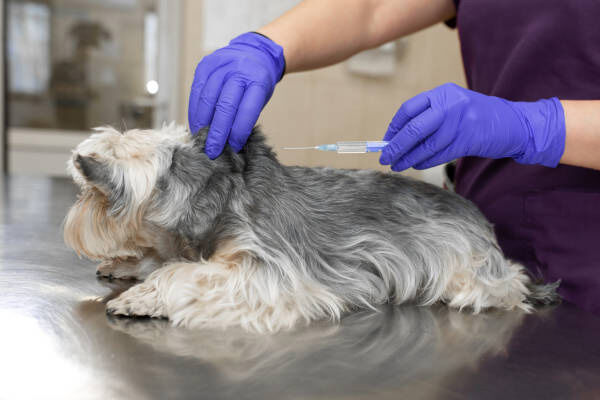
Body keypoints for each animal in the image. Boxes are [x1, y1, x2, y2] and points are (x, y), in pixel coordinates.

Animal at [64, 123, 559, 332]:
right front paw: (129, 264)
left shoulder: (265, 271)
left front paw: (142, 296)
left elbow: (184, 274)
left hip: (470, 268)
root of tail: (476, 217)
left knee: (508, 281)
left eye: (85, 194)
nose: (73, 221)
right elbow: (169, 257)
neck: (206, 190)